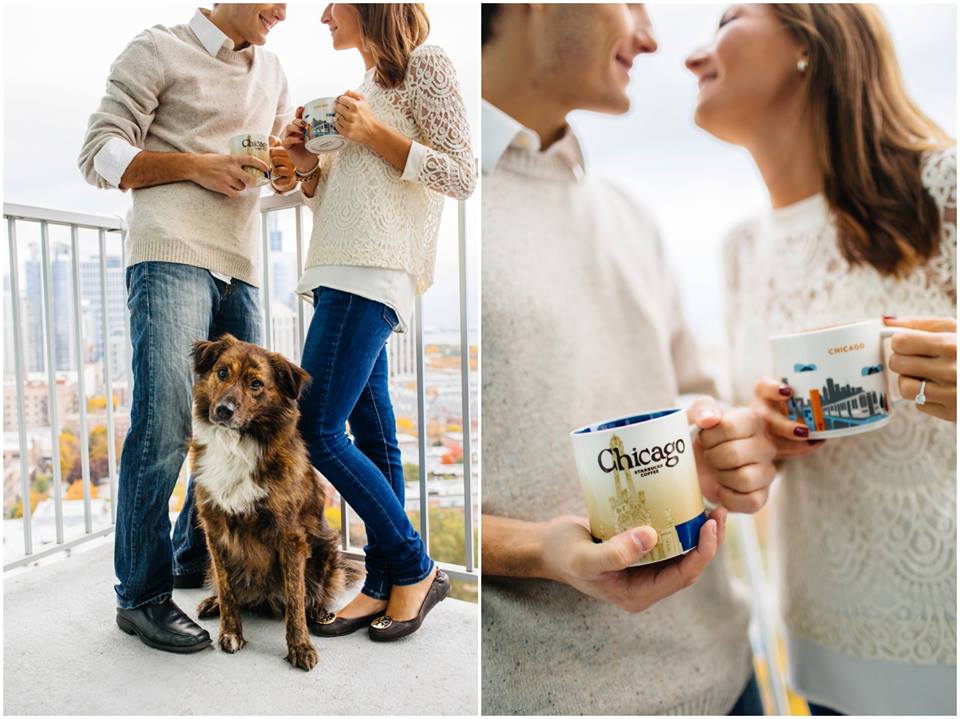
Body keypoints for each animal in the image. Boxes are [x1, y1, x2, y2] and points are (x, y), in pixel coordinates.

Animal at [188, 334, 356, 672]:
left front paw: (300, 646)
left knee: (314, 592)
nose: (223, 410)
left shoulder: (289, 534)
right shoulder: (214, 526)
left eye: (256, 384)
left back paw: (318, 612)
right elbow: (227, 588)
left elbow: (295, 597)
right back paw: (213, 602)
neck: (238, 444)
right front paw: (230, 631)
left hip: (325, 549)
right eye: (222, 373)